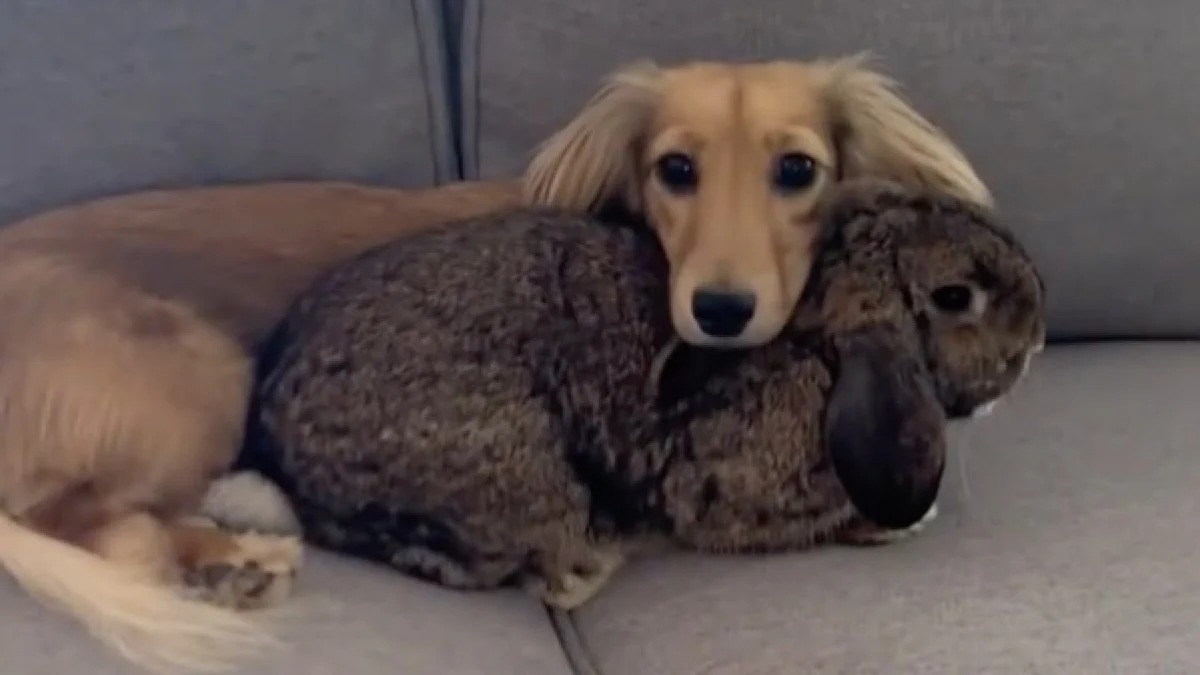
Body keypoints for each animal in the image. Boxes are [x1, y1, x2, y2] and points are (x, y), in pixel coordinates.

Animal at [238, 177, 1046, 605]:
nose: (1038, 336)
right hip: (526, 476)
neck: (814, 346)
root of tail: (275, 442)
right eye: (955, 296)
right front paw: (894, 524)